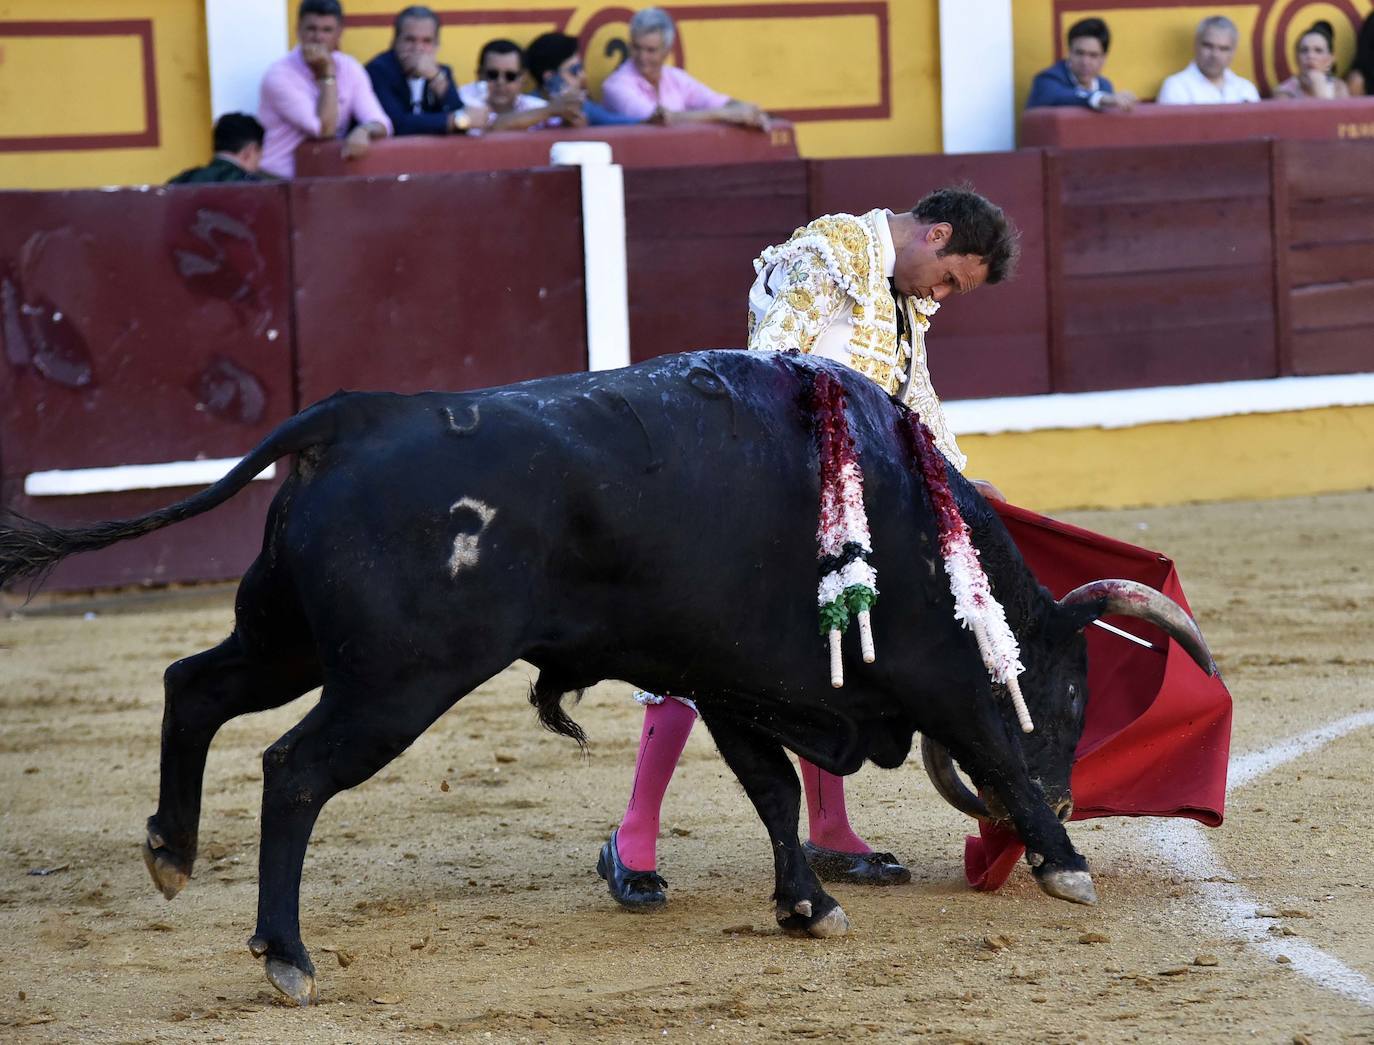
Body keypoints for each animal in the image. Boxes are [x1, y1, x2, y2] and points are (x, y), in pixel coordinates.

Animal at [0, 350, 1214, 1005]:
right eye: (1073, 696)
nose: (1071, 798)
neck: (909, 513)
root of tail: (354, 415)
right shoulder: (933, 675)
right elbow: (991, 748)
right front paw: (1066, 866)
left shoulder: (732, 682)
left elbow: (773, 789)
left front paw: (808, 903)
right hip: (396, 681)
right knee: (294, 769)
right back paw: (288, 957)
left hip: (288, 638)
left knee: (192, 685)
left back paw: (170, 850)